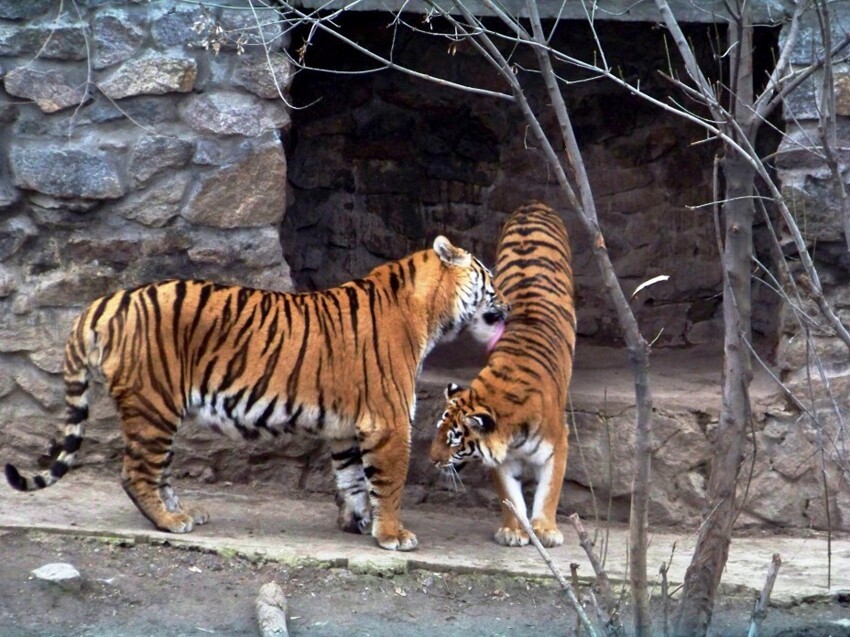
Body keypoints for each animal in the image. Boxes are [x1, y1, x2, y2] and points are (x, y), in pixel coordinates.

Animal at [4, 236, 504, 548]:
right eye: (489, 278)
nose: (507, 305)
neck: (430, 313)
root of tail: (108, 299)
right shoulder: (390, 421)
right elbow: (389, 481)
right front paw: (393, 535)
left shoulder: (346, 428)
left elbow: (352, 479)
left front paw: (359, 523)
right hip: (154, 405)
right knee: (135, 473)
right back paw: (171, 521)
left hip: (161, 411)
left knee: (156, 472)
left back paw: (185, 512)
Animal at [428, 204, 572, 548]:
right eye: (439, 433)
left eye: (454, 441)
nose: (432, 460)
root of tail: (534, 204)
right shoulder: (501, 458)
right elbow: (511, 497)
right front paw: (514, 531)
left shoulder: (558, 442)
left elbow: (550, 489)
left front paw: (546, 530)